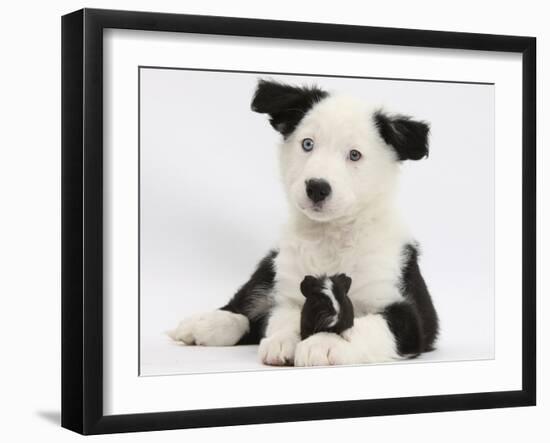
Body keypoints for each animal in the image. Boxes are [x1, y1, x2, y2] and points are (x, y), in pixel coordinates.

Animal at [170, 78, 442, 366]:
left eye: (354, 155)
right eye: (308, 144)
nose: (317, 188)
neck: (330, 236)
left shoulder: (406, 313)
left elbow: (363, 325)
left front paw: (323, 343)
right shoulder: (290, 291)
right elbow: (283, 317)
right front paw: (282, 341)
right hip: (272, 263)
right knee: (249, 305)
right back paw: (204, 324)